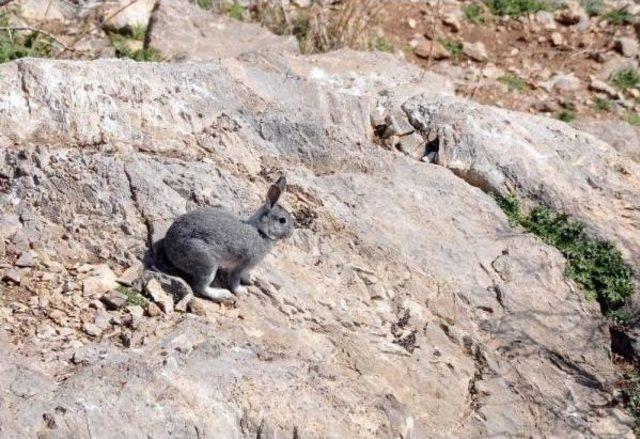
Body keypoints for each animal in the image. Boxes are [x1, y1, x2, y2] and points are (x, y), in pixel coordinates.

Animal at [165, 175, 296, 302]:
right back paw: (223, 295)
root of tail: (170, 249)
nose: (291, 233)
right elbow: (234, 280)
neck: (260, 232)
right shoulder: (242, 264)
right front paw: (241, 291)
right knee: (201, 286)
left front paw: (250, 279)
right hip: (206, 260)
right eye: (282, 220)